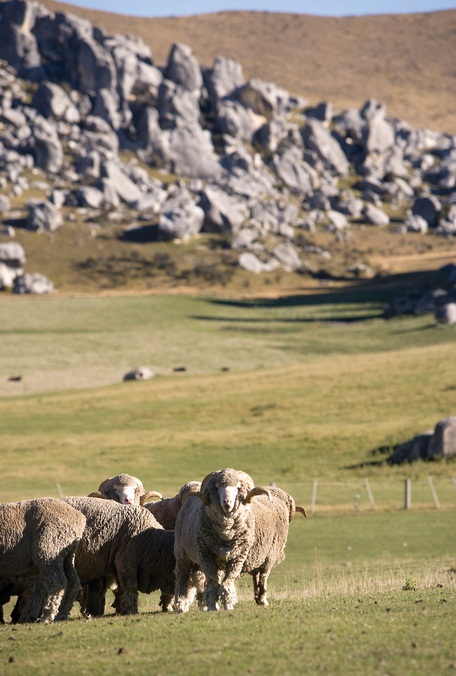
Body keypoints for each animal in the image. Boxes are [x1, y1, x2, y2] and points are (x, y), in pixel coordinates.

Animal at [0, 496, 86, 624]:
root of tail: (79, 517)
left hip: (49, 550)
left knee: (58, 582)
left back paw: (47, 616)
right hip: (68, 554)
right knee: (73, 581)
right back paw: (61, 614)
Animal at [173, 470, 268, 612]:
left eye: (238, 487)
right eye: (217, 488)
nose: (227, 501)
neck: (226, 533)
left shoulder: (237, 558)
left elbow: (227, 581)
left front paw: (227, 604)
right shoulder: (206, 557)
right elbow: (213, 582)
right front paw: (212, 606)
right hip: (182, 554)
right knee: (182, 577)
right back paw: (180, 604)